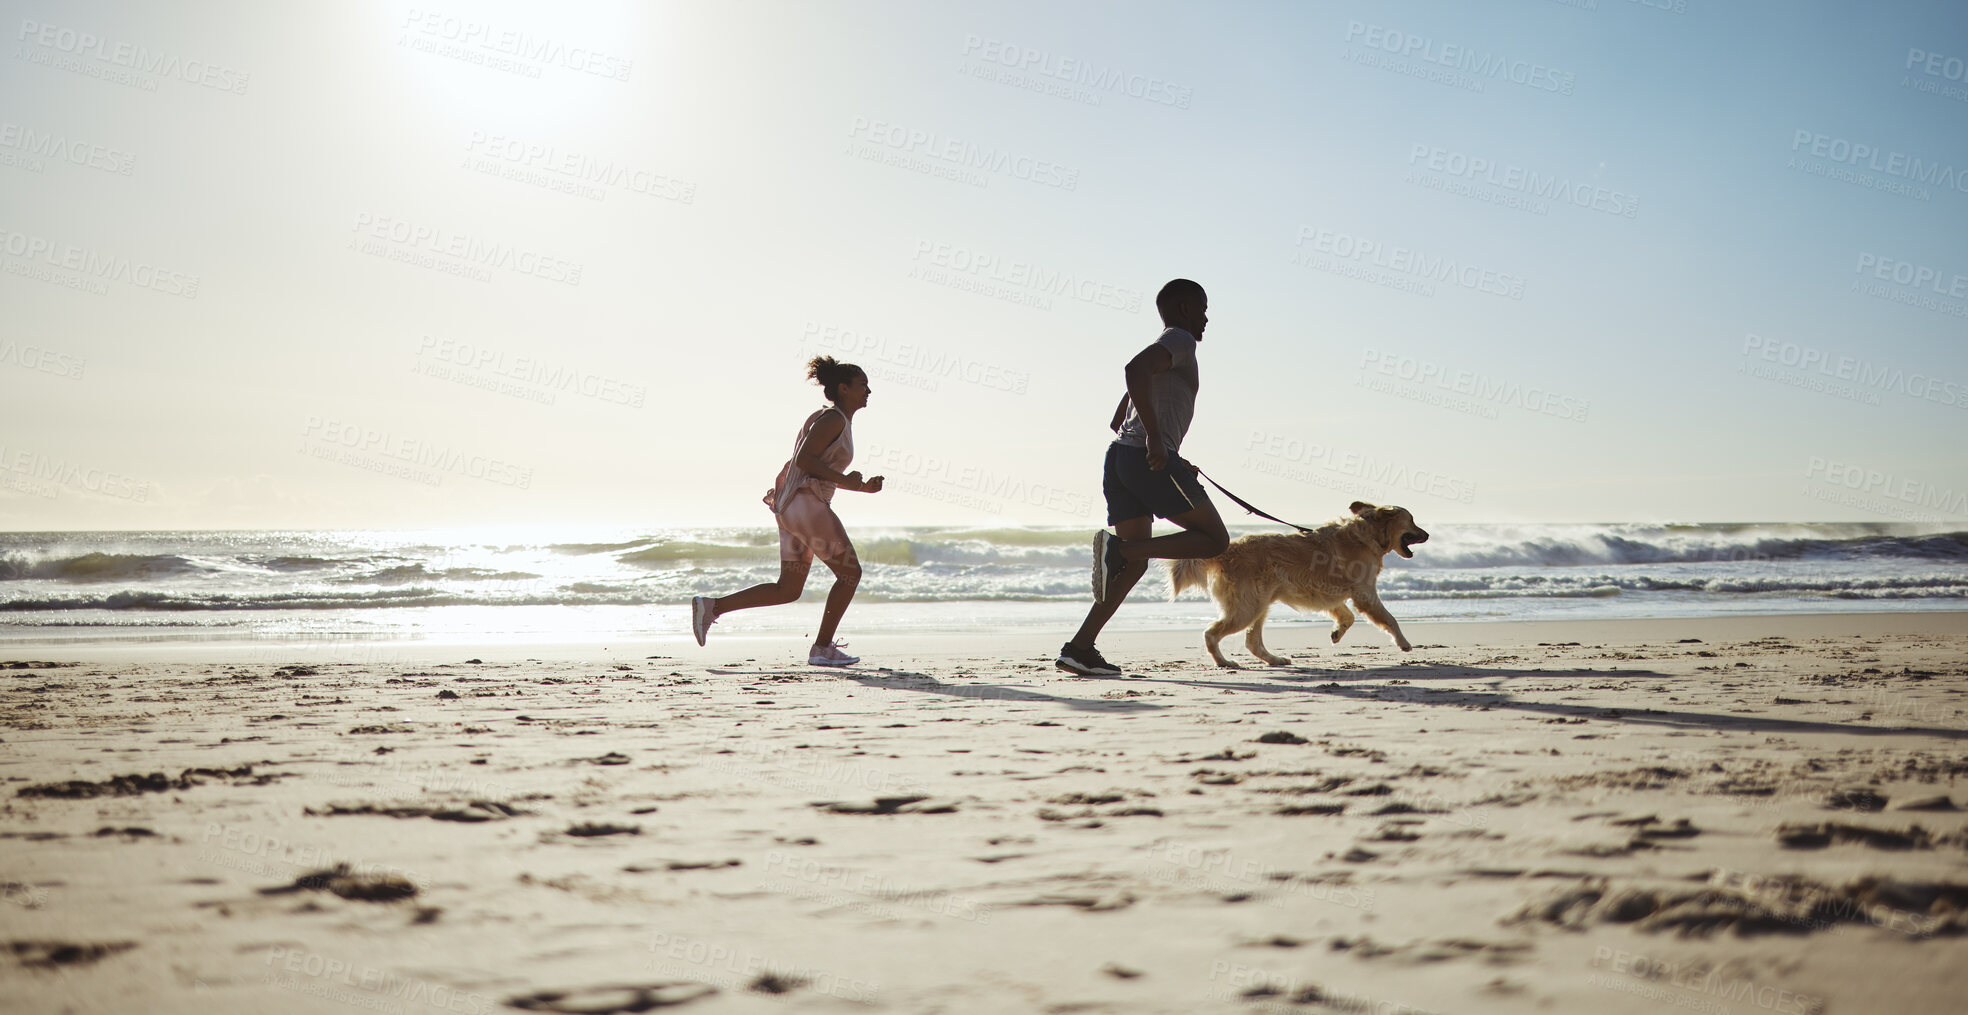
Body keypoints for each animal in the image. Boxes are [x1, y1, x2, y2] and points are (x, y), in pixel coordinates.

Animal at [1165, 499, 1432, 664]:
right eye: (1412, 520)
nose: (1428, 534)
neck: (1368, 535)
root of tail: (1227, 550)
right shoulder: (1365, 594)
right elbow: (1390, 618)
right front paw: (1404, 643)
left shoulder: (1333, 595)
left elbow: (1347, 616)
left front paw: (1337, 632)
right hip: (1248, 607)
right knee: (1211, 634)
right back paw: (1224, 662)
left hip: (1259, 604)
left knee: (1252, 642)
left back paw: (1274, 660)